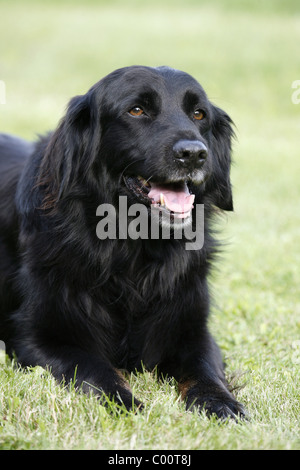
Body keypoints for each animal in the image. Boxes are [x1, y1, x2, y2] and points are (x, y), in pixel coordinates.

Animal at [0, 65, 245, 418]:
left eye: (199, 114)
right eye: (137, 110)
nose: (195, 154)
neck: (133, 246)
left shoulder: (193, 330)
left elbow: (204, 369)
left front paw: (219, 402)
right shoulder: (37, 338)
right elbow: (95, 369)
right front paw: (127, 404)